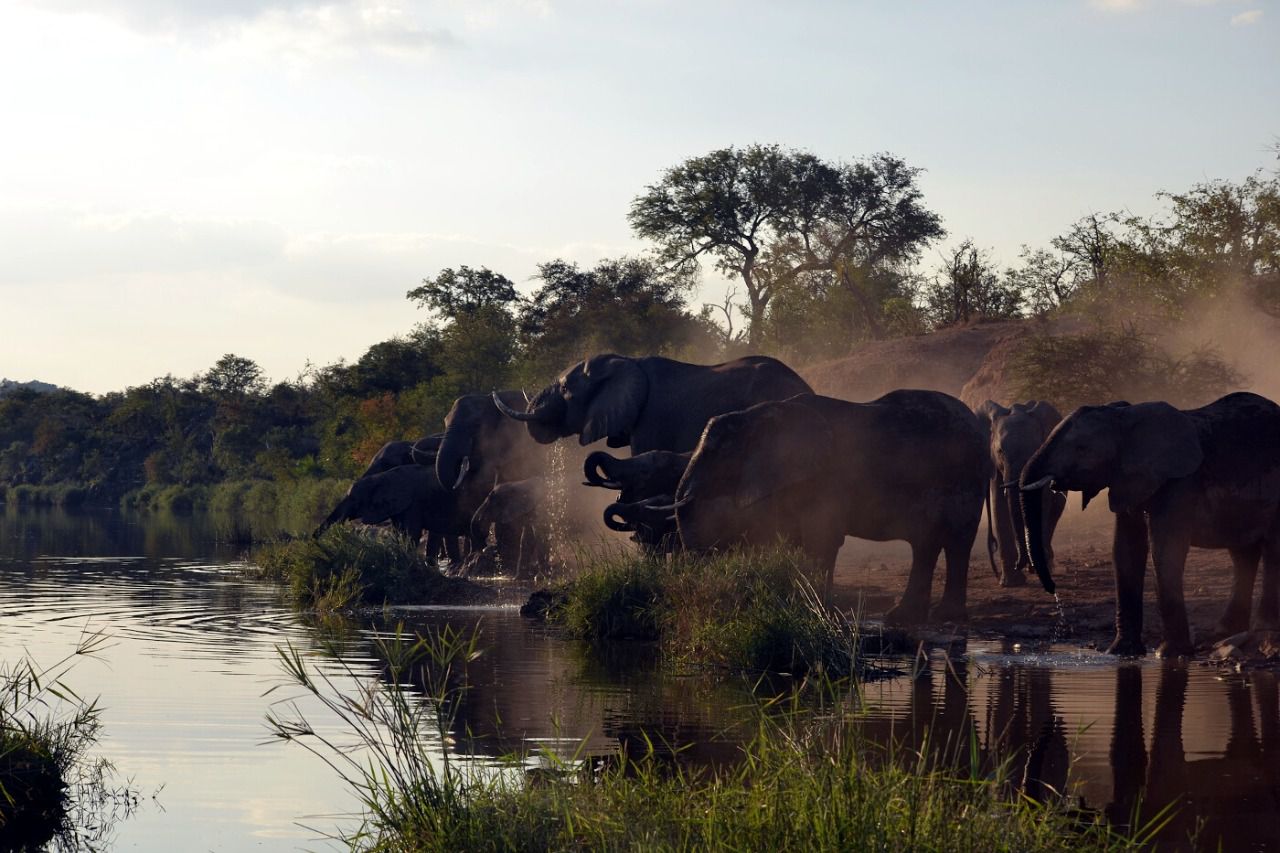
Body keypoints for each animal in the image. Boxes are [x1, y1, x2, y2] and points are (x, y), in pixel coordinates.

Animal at [670, 386, 988, 617]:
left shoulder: (828, 479)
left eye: (717, 453)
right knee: (926, 544)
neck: (759, 414)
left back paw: (945, 615)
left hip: (967, 478)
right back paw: (903, 616)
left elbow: (822, 539)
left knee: (957, 542)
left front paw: (816, 609)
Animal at [1024, 389, 1280, 653]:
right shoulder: (1127, 478)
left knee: (1272, 550)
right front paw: (1120, 651)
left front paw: (1169, 653)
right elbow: (1125, 549)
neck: (1125, 416)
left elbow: (1165, 548)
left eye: (1081, 448)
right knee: (1242, 554)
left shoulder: (1181, 482)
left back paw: (1264, 630)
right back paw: (1225, 632)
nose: (1052, 588)